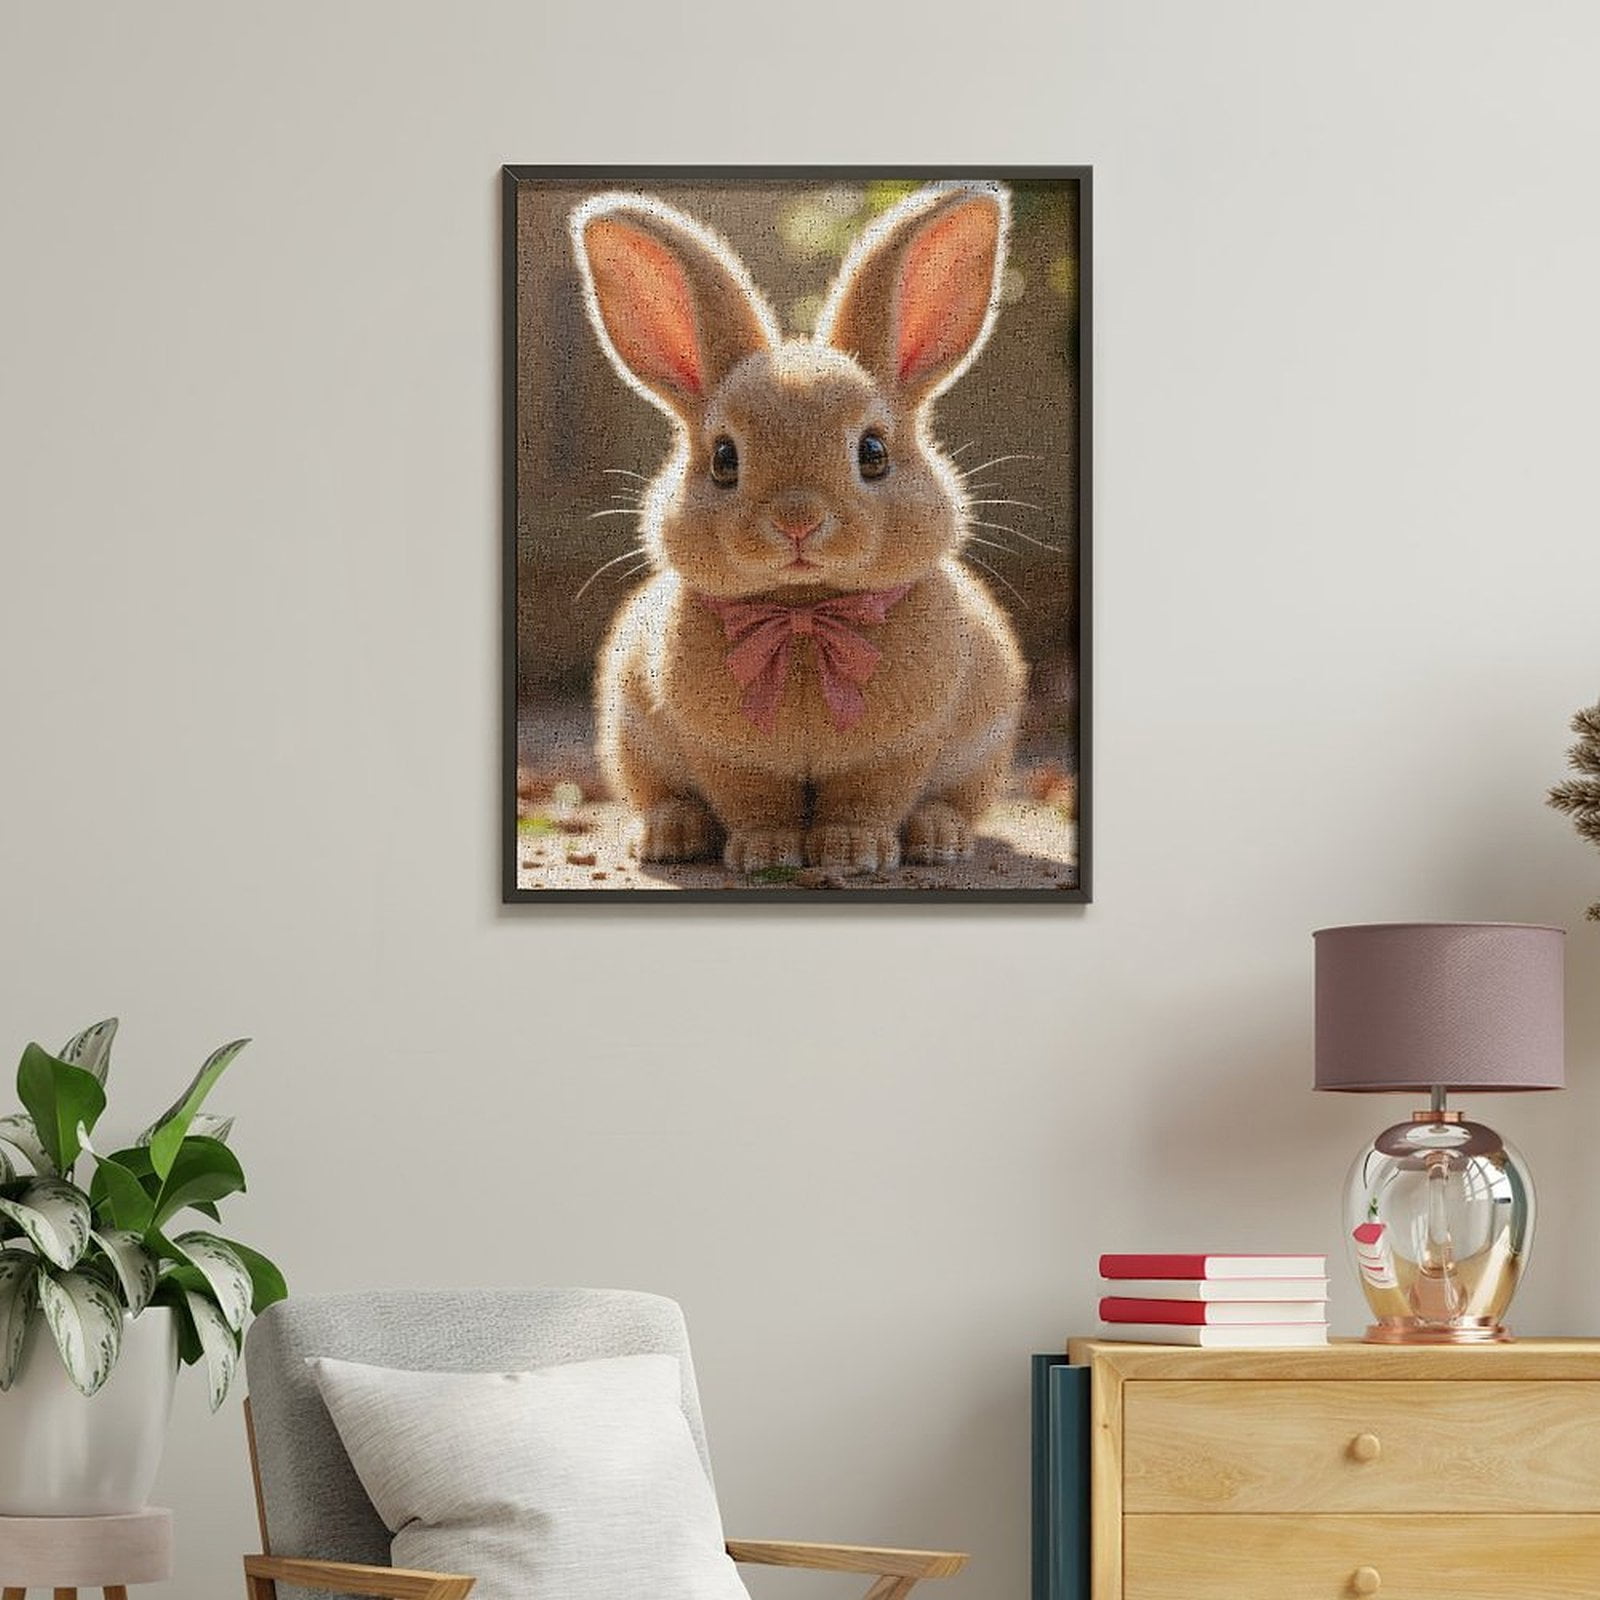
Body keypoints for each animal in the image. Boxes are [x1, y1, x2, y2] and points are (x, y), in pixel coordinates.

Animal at [569, 180, 1027, 875]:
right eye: (725, 459)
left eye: (873, 453)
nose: (797, 521)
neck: (804, 613)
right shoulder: (729, 757)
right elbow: (755, 803)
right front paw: (765, 853)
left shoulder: (896, 751)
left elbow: (866, 800)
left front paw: (852, 852)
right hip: (633, 744)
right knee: (665, 796)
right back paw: (670, 835)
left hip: (982, 755)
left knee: (952, 803)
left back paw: (936, 837)